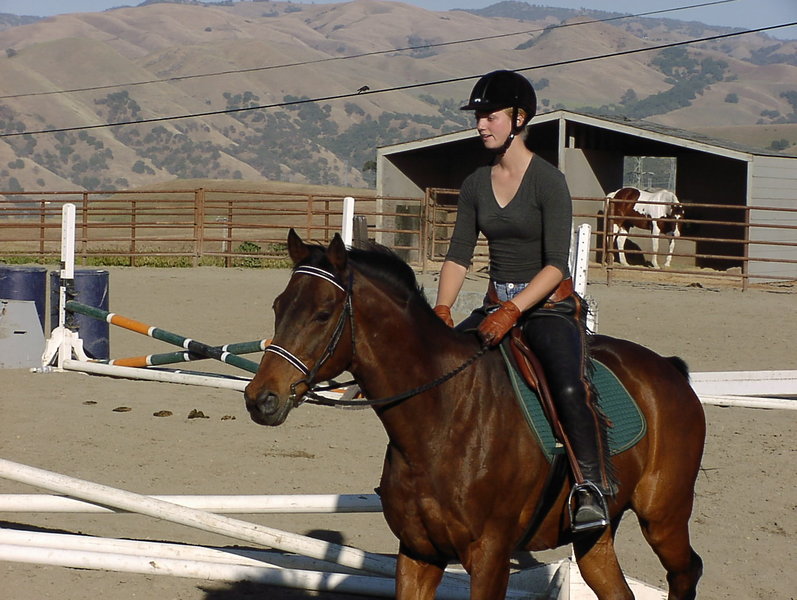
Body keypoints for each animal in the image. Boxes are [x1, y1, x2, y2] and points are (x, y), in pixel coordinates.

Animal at [244, 229, 705, 600]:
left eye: (323, 313)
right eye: (278, 306)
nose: (260, 398)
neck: (440, 421)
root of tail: (669, 370)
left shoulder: (489, 558)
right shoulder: (418, 553)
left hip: (664, 516)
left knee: (686, 572)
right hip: (596, 538)